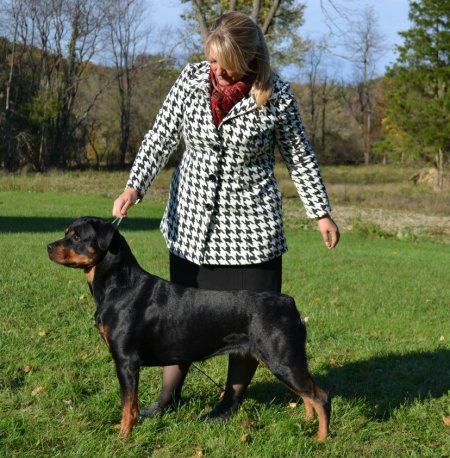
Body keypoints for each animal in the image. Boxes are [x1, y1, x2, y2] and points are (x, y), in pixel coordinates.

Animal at [47, 216, 331, 441]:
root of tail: (289, 303)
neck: (118, 285)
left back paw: (321, 438)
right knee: (307, 395)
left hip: (282, 358)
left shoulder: (126, 361)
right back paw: (305, 423)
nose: (48, 246)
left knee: (320, 396)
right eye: (66, 232)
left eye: (76, 236)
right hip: (282, 361)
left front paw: (123, 436)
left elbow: (128, 405)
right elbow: (127, 404)